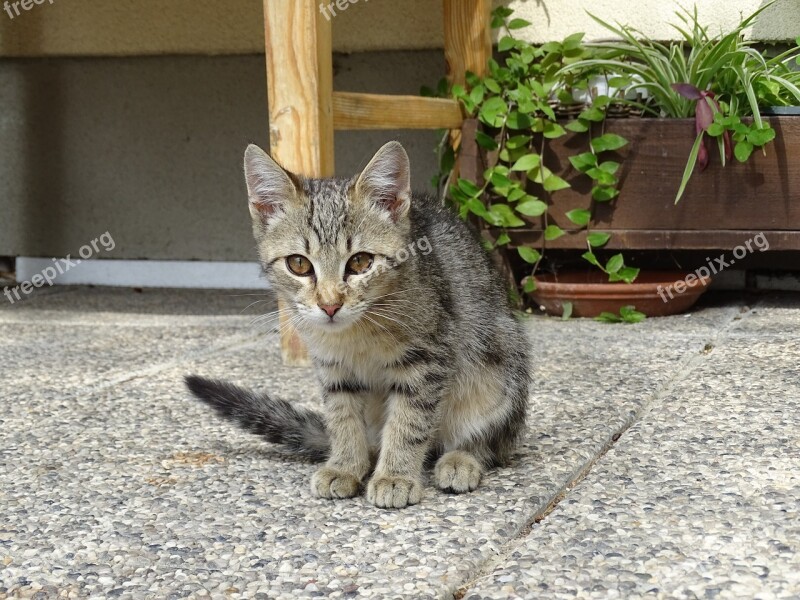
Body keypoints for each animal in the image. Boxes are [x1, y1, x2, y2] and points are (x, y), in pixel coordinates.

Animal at [187, 141, 532, 506]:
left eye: (361, 262)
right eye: (298, 264)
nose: (329, 304)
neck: (356, 333)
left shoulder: (428, 360)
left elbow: (409, 421)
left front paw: (395, 475)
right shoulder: (333, 367)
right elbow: (342, 418)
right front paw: (345, 465)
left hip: (500, 369)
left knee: (492, 441)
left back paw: (461, 458)